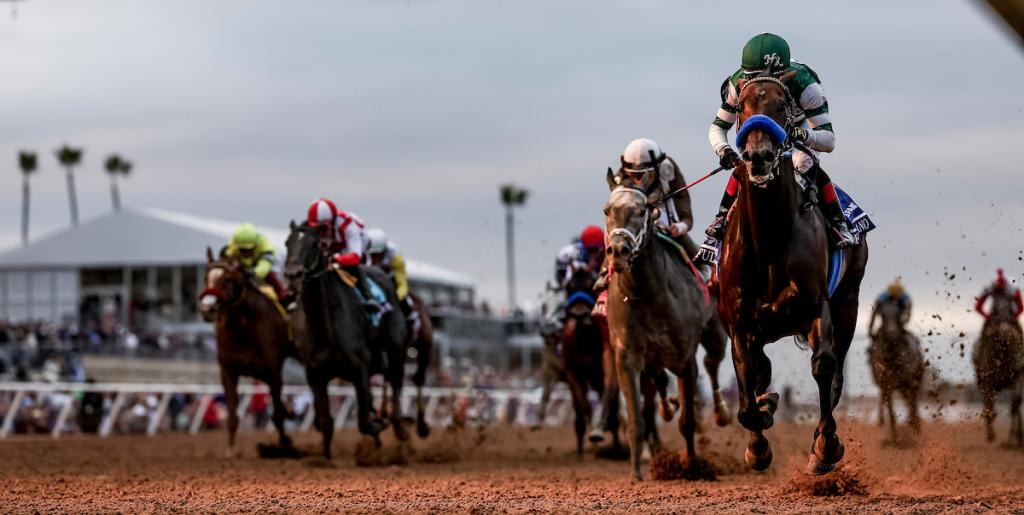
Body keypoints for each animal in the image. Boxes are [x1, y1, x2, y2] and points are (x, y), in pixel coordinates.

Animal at [198, 249, 297, 457]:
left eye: (227, 279)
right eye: (205, 277)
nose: (207, 309)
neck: (243, 328)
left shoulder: (273, 371)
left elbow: (277, 413)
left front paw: (285, 442)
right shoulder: (228, 371)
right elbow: (232, 415)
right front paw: (230, 449)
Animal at [283, 221, 408, 459]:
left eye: (315, 244)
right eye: (287, 242)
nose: (293, 274)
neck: (325, 325)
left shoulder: (359, 367)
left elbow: (365, 423)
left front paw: (379, 424)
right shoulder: (315, 374)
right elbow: (326, 422)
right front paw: (327, 459)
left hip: (395, 351)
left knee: (396, 387)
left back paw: (398, 429)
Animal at [603, 174, 720, 481]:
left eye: (642, 210)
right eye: (607, 210)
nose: (618, 251)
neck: (648, 293)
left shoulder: (685, 360)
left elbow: (688, 422)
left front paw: (691, 467)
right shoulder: (627, 357)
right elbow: (636, 420)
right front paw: (635, 474)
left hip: (715, 334)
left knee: (713, 363)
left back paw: (721, 412)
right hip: (652, 359)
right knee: (659, 382)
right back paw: (667, 406)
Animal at [717, 71, 869, 475]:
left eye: (781, 104)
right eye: (741, 106)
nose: (758, 156)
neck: (770, 239)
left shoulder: (817, 307)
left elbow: (824, 367)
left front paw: (826, 447)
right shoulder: (739, 324)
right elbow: (747, 393)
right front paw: (758, 442)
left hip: (848, 303)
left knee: (837, 373)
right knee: (763, 369)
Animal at [867, 300, 923, 441]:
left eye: (898, 313)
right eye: (882, 314)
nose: (892, 332)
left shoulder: (909, 381)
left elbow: (912, 405)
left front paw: (914, 428)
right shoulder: (887, 386)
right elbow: (891, 412)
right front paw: (895, 437)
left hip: (914, 381)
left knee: (913, 403)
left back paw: (915, 427)